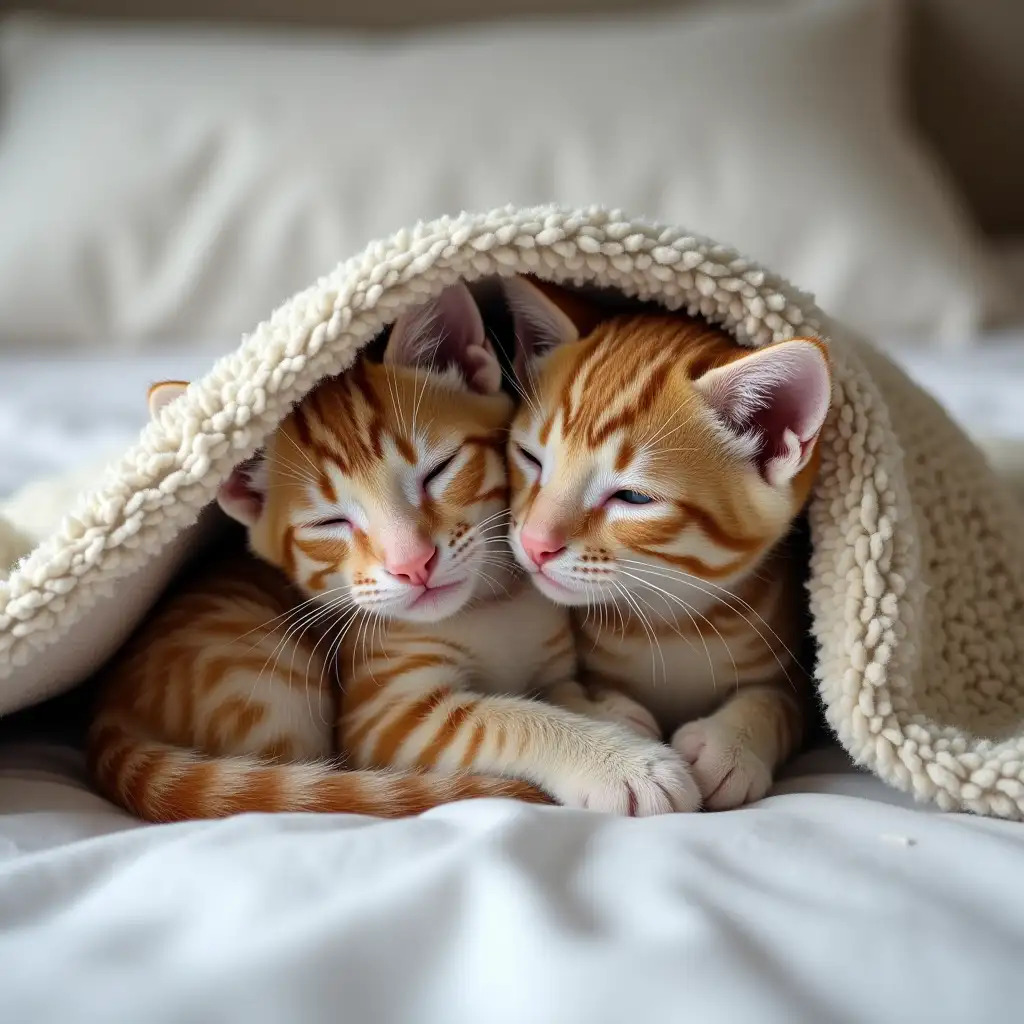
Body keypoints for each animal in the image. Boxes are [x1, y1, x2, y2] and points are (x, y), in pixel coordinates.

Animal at [90, 282, 696, 823]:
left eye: (439, 471)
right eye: (330, 522)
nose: (413, 564)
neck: (488, 609)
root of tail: (110, 710)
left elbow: (555, 691)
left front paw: (605, 708)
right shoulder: (386, 718)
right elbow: (509, 716)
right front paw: (624, 764)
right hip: (266, 675)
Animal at [499, 276, 827, 811]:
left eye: (633, 497)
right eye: (530, 459)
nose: (535, 543)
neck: (671, 622)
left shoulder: (796, 670)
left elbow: (778, 702)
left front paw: (731, 746)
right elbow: (556, 690)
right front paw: (611, 722)